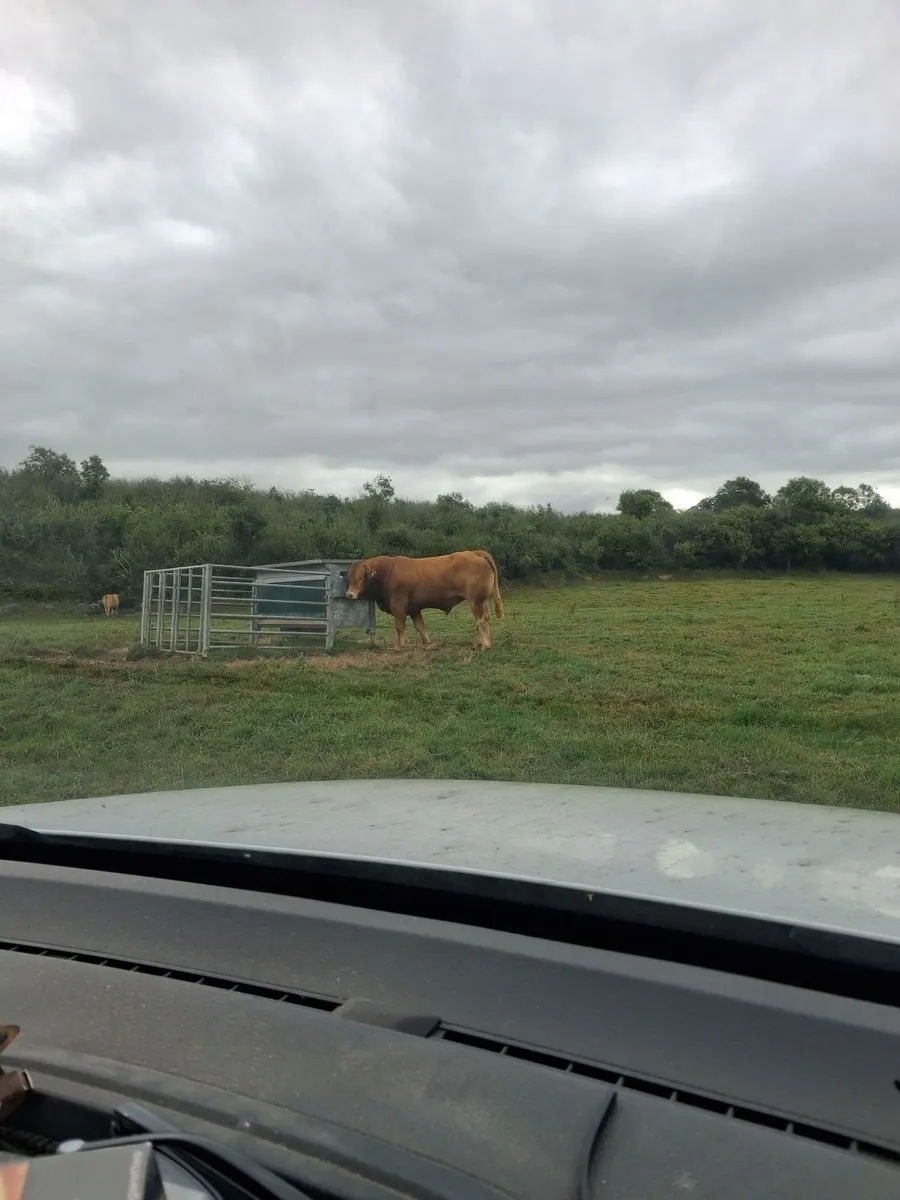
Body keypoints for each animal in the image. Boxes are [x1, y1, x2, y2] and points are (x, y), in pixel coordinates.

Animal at [345, 550, 504, 650]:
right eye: (349, 577)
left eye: (360, 577)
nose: (349, 594)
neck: (388, 572)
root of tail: (475, 552)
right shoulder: (414, 608)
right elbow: (420, 626)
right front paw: (428, 643)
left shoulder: (399, 606)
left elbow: (399, 627)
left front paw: (398, 646)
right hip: (482, 601)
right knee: (484, 620)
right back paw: (479, 644)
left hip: (476, 601)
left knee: (481, 620)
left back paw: (484, 645)